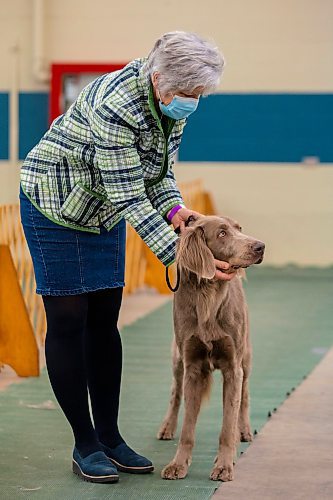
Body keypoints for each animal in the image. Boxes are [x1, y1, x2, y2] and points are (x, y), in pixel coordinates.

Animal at [158, 215, 264, 480]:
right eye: (222, 234)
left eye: (239, 229)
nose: (260, 247)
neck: (208, 296)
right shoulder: (192, 365)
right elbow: (187, 427)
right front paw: (178, 464)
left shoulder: (233, 367)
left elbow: (227, 425)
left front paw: (224, 465)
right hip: (177, 359)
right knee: (175, 392)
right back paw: (167, 427)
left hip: (245, 359)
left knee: (244, 396)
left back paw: (244, 430)